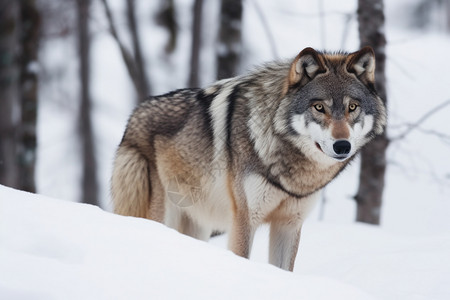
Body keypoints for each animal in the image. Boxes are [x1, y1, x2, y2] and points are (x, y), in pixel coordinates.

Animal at [111, 47, 386, 272]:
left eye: (352, 107)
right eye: (319, 107)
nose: (343, 145)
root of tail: (134, 115)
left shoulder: (289, 224)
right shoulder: (244, 219)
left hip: (197, 224)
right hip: (159, 215)